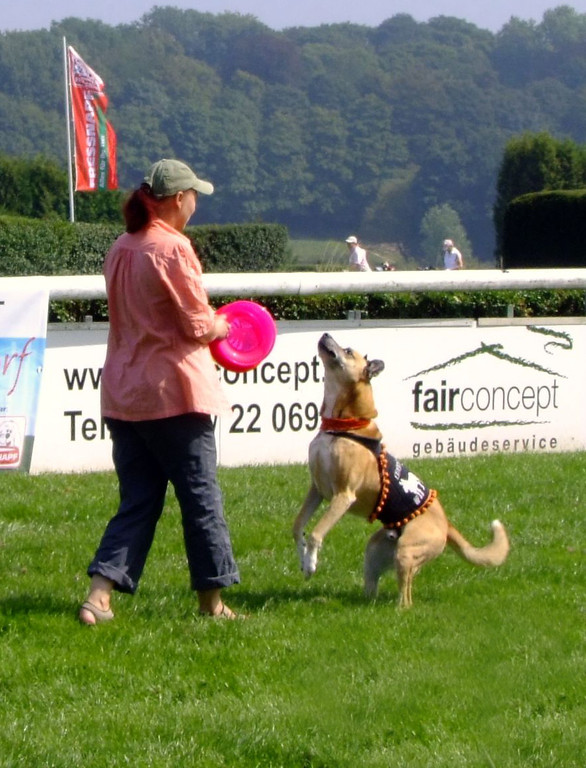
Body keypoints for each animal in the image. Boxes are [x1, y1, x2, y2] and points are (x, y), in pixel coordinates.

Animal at [292, 332, 506, 608]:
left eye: (348, 350)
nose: (326, 334)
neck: (342, 426)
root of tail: (447, 525)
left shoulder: (343, 496)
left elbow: (317, 533)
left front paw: (311, 564)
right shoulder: (317, 489)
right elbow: (298, 526)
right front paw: (302, 558)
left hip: (408, 552)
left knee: (406, 595)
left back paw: (398, 610)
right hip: (375, 550)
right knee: (372, 589)